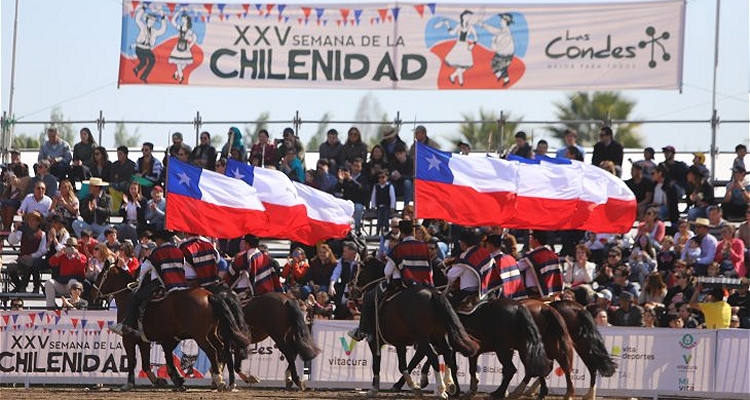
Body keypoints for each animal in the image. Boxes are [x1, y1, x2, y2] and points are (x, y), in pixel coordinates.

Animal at [92, 262, 251, 390]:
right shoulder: (146, 340)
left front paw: (129, 383)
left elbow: (133, 361)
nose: (92, 295)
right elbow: (147, 363)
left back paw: (219, 379)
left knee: (212, 351)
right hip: (212, 333)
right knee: (223, 349)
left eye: (100, 275)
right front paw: (164, 380)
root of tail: (209, 295)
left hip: (200, 336)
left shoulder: (128, 339)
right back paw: (227, 381)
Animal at [350, 255, 478, 398]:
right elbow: (402, 366)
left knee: (433, 355)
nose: (351, 291)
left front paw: (374, 389)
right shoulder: (399, 342)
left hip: (423, 338)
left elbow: (377, 364)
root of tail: (433, 293)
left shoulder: (374, 341)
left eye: (357, 269)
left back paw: (440, 389)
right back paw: (449, 384)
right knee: (447, 351)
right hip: (438, 336)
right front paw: (413, 386)